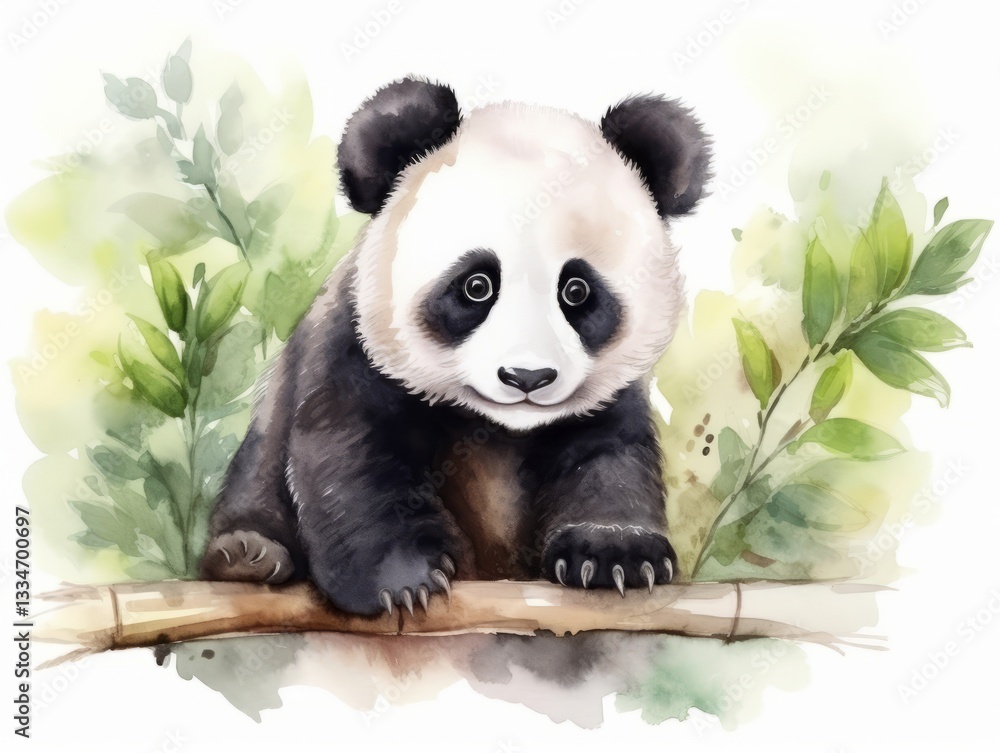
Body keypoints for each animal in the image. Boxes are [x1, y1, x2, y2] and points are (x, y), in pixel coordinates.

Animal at [201, 78, 711, 616]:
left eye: (577, 291)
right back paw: (249, 555)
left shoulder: (608, 393)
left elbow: (610, 455)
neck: (498, 426)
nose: (527, 378)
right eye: (477, 286)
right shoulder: (351, 344)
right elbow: (350, 455)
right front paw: (400, 580)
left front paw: (615, 555)